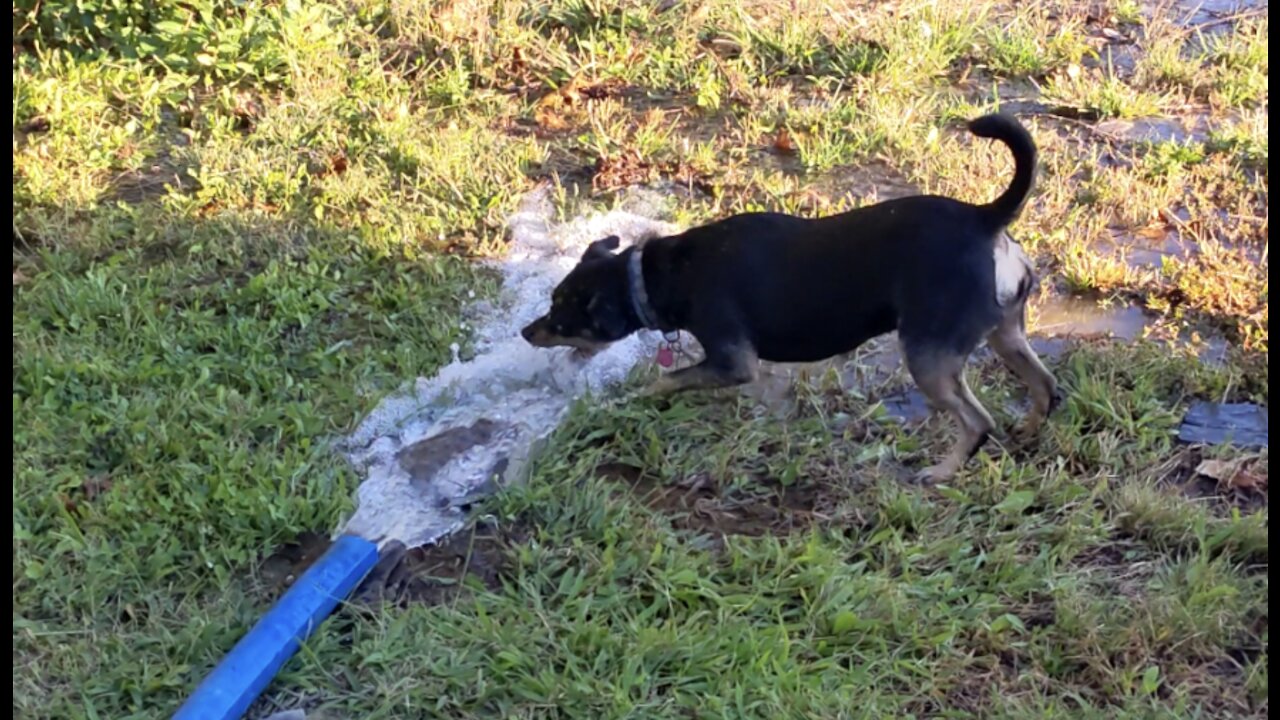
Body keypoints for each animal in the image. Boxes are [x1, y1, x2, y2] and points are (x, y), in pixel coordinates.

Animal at [522, 113, 1059, 481]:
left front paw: (635, 399)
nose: (527, 332)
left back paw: (942, 472)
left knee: (978, 420)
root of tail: (985, 218)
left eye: (559, 315)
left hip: (928, 354)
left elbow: (666, 380)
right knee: (1046, 386)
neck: (659, 273)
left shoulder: (733, 362)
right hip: (1007, 333)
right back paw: (1030, 432)